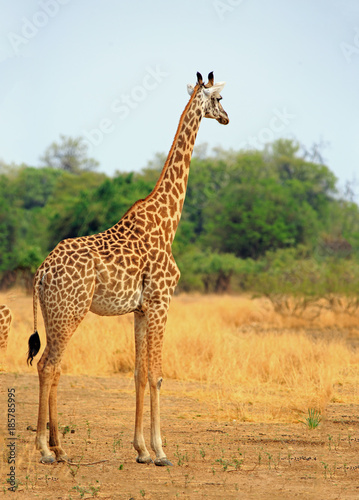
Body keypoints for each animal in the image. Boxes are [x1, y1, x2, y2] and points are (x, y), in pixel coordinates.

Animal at [28, 71, 231, 464]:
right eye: (219, 98)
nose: (228, 118)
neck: (168, 222)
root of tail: (41, 271)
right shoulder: (161, 301)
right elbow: (157, 375)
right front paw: (161, 451)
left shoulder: (139, 309)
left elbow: (138, 373)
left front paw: (141, 450)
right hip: (70, 311)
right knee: (48, 365)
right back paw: (45, 450)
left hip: (53, 312)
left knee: (54, 367)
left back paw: (60, 447)